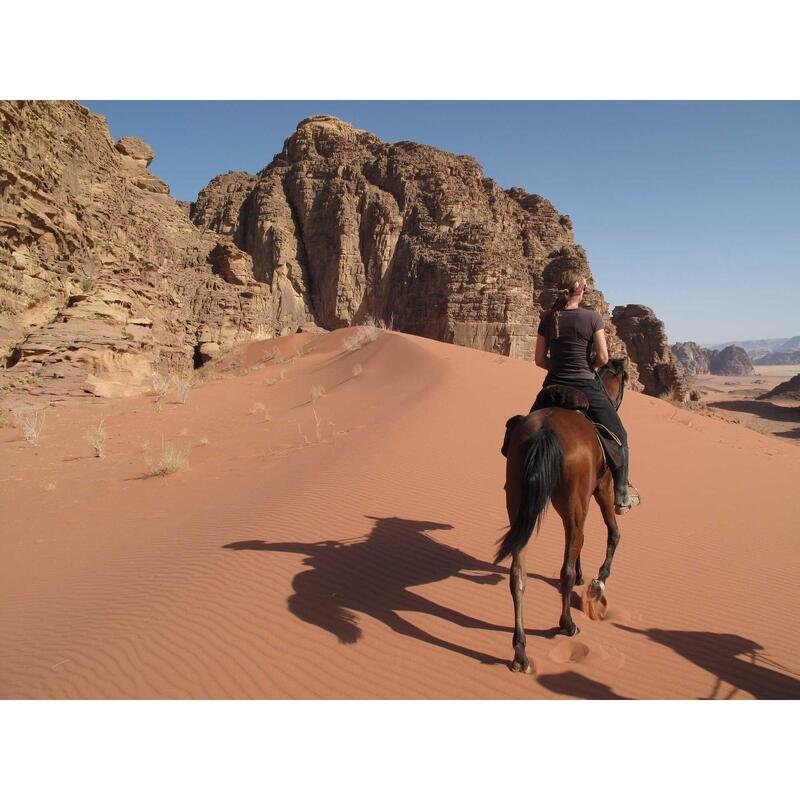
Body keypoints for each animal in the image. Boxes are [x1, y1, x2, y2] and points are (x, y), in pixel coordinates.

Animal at [496, 362, 628, 676]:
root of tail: (546, 431)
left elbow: (580, 545)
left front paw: (585, 576)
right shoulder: (603, 488)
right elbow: (613, 533)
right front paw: (599, 581)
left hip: (519, 502)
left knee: (518, 573)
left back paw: (520, 652)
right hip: (575, 502)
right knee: (565, 566)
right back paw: (567, 624)